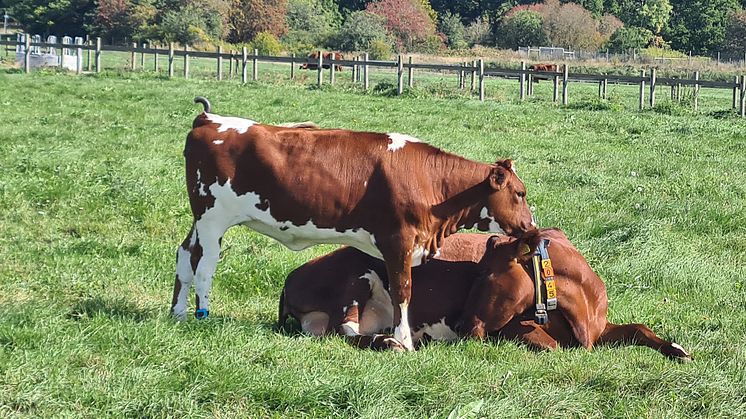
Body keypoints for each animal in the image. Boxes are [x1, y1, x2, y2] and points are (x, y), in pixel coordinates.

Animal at [280, 230, 692, 360]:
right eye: (473, 273)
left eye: (486, 275)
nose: (461, 324)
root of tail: (291, 277)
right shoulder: (510, 328)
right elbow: (553, 347)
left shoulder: (599, 328)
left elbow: (640, 329)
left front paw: (677, 348)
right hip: (356, 280)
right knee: (346, 332)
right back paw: (390, 343)